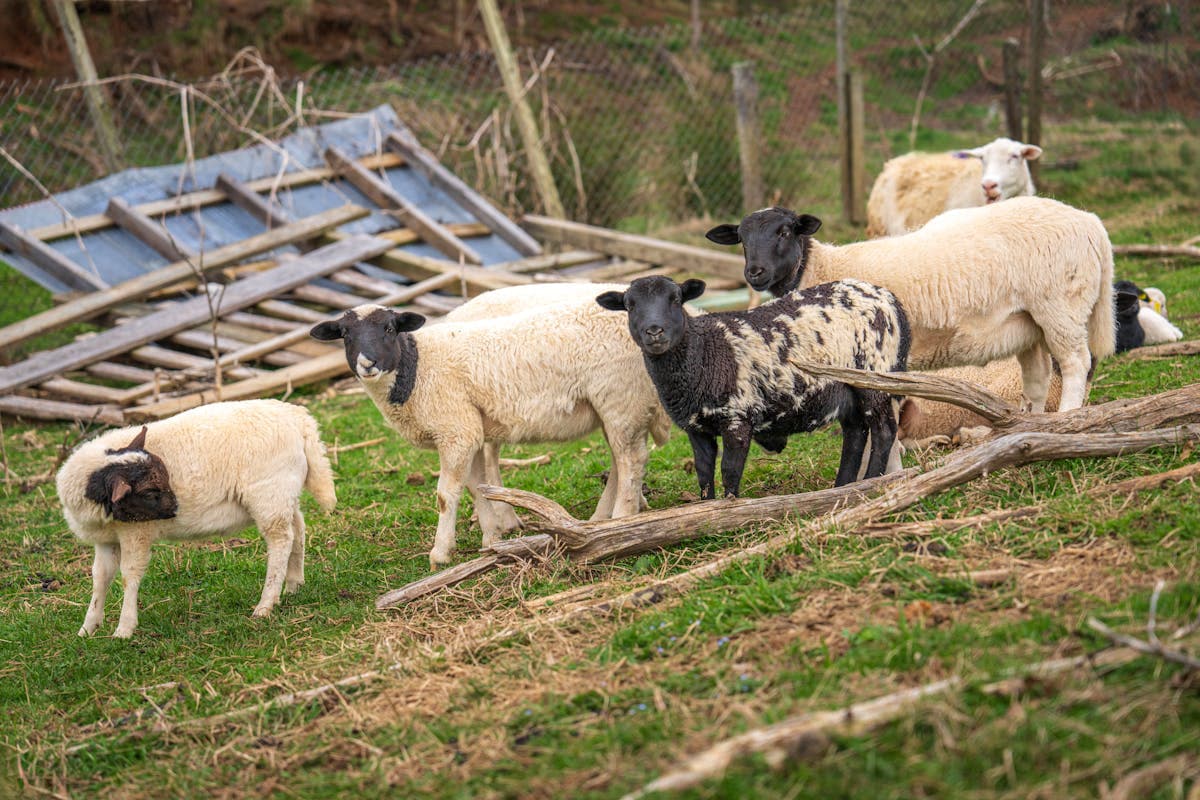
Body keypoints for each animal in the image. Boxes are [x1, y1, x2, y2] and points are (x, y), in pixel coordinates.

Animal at [59, 398, 336, 638]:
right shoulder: (106, 539)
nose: (176, 509)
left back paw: (266, 604)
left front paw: (124, 629)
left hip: (269, 494)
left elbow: (129, 575)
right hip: (284, 493)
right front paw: (87, 628)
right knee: (298, 529)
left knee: (281, 540)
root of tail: (297, 418)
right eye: (149, 491)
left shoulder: (137, 532)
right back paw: (293, 585)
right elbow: (100, 578)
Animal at [309, 297, 672, 566]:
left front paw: (440, 553)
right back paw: (602, 521)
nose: (367, 363)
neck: (416, 368)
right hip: (616, 404)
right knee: (621, 461)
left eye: (388, 328)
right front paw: (492, 538)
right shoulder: (468, 430)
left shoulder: (455, 429)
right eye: (345, 334)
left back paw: (622, 520)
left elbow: (446, 495)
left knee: (631, 460)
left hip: (619, 395)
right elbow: (476, 488)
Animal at [600, 278, 907, 496]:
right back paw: (843, 485)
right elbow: (704, 472)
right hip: (847, 389)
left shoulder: (737, 417)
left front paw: (729, 508)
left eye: (676, 299)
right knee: (855, 434)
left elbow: (729, 470)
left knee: (883, 431)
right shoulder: (696, 428)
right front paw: (706, 508)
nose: (654, 331)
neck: (702, 353)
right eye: (629, 305)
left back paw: (870, 481)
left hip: (873, 374)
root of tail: (889, 297)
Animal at [710, 196, 1113, 417]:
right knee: (1038, 377)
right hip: (1028, 322)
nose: (754, 272)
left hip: (1060, 305)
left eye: (784, 231)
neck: (822, 267)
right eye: (741, 239)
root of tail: (1091, 222)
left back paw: (1067, 416)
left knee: (1076, 364)